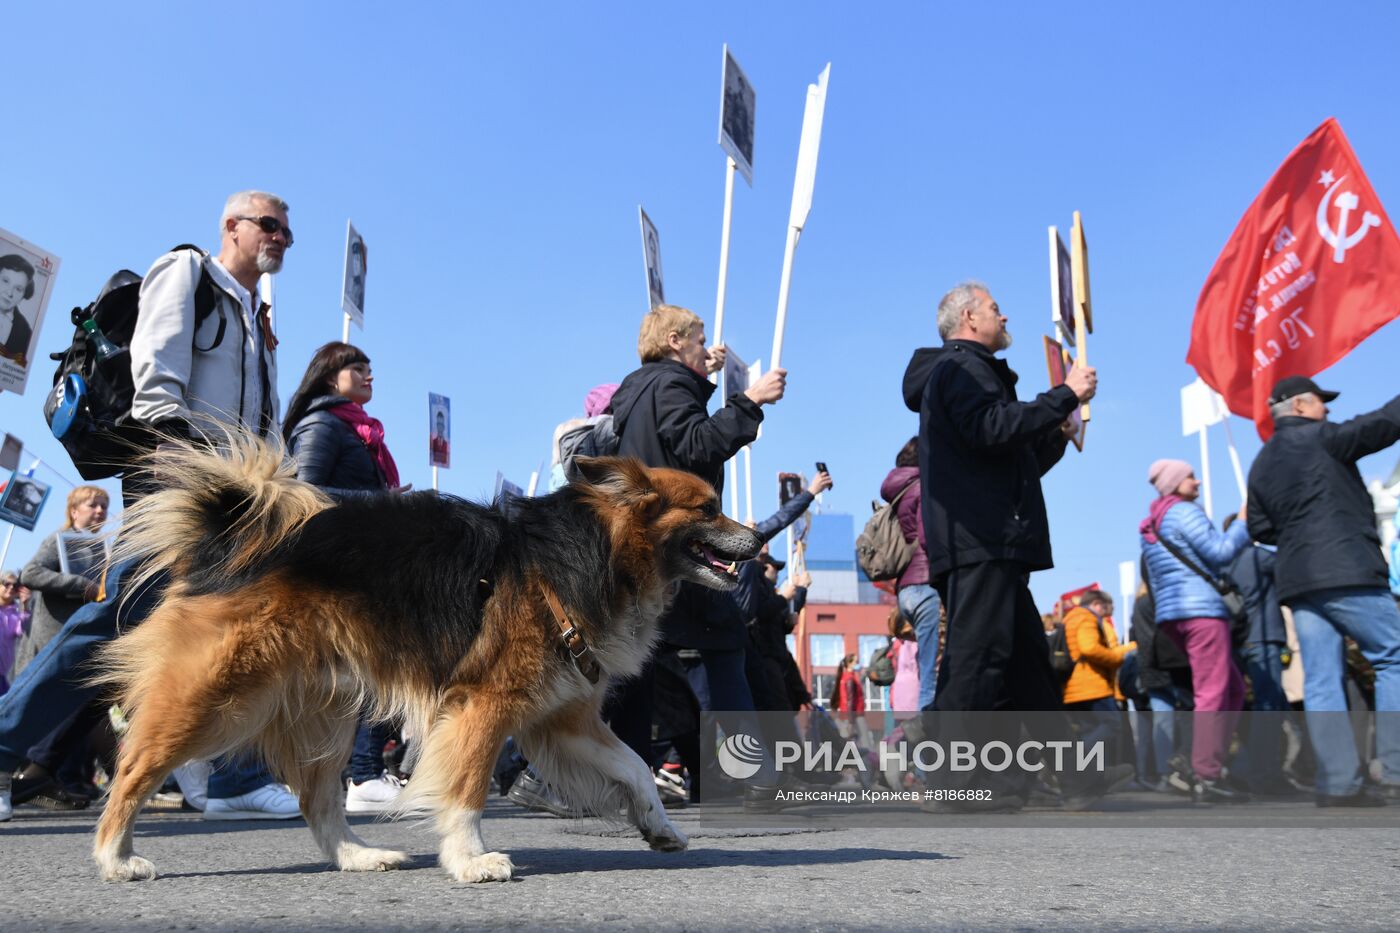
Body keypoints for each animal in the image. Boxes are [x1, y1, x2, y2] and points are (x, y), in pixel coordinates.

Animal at [91, 431, 761, 885]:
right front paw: (470, 860)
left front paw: (660, 826)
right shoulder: (483, 706)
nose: (762, 541)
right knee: (134, 769)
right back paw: (115, 857)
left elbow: (634, 767)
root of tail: (231, 536)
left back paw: (358, 856)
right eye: (707, 508)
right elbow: (466, 791)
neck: (597, 555)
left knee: (317, 800)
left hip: (325, 712)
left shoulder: (565, 719)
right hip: (215, 697)